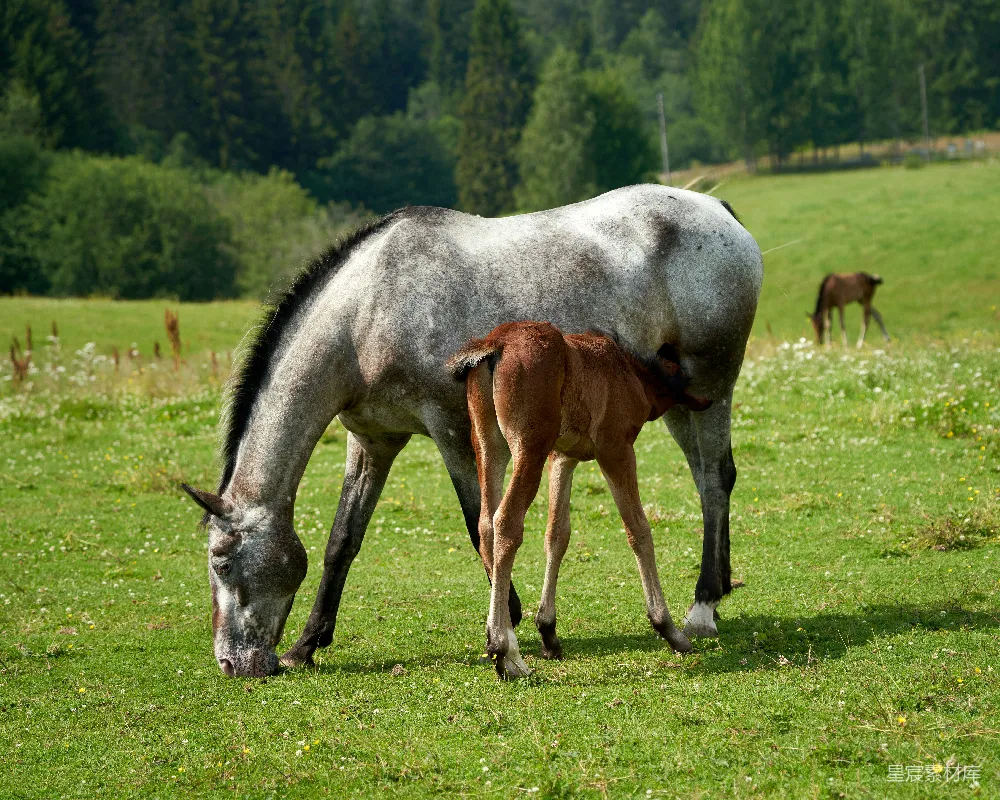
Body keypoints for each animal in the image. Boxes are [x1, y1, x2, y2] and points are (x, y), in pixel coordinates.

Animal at [448, 321, 712, 679]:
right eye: (682, 369)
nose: (707, 399)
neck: (628, 371)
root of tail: (496, 342)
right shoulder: (616, 450)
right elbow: (638, 529)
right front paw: (669, 629)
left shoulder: (563, 457)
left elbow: (557, 534)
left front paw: (548, 632)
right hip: (529, 449)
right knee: (506, 522)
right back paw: (505, 652)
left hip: (490, 446)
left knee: (486, 524)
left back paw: (506, 644)